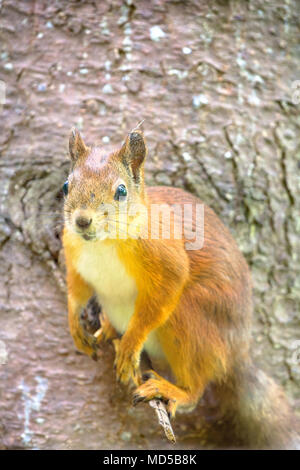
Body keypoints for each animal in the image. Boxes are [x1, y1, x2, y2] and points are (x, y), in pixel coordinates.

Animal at [62, 127, 298, 448]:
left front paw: (130, 345)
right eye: (66, 186)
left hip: (189, 321)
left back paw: (173, 389)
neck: (104, 243)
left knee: (196, 389)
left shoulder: (166, 261)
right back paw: (110, 327)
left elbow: (160, 298)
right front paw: (75, 326)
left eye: (121, 191)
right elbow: (77, 292)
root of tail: (236, 355)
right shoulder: (76, 259)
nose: (82, 221)